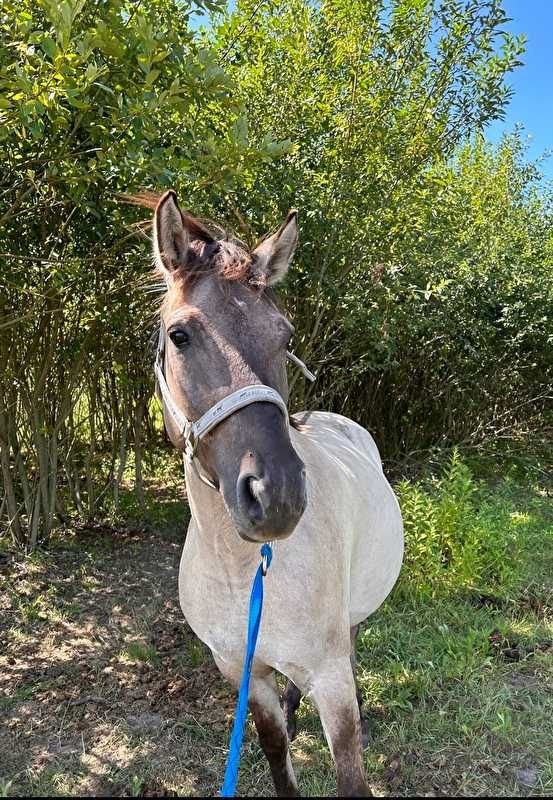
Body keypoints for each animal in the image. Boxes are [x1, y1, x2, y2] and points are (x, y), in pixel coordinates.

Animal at [140, 191, 404, 796]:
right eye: (179, 335)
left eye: (284, 337)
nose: (276, 493)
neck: (244, 572)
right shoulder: (243, 671)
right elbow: (276, 751)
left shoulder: (330, 676)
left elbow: (350, 771)